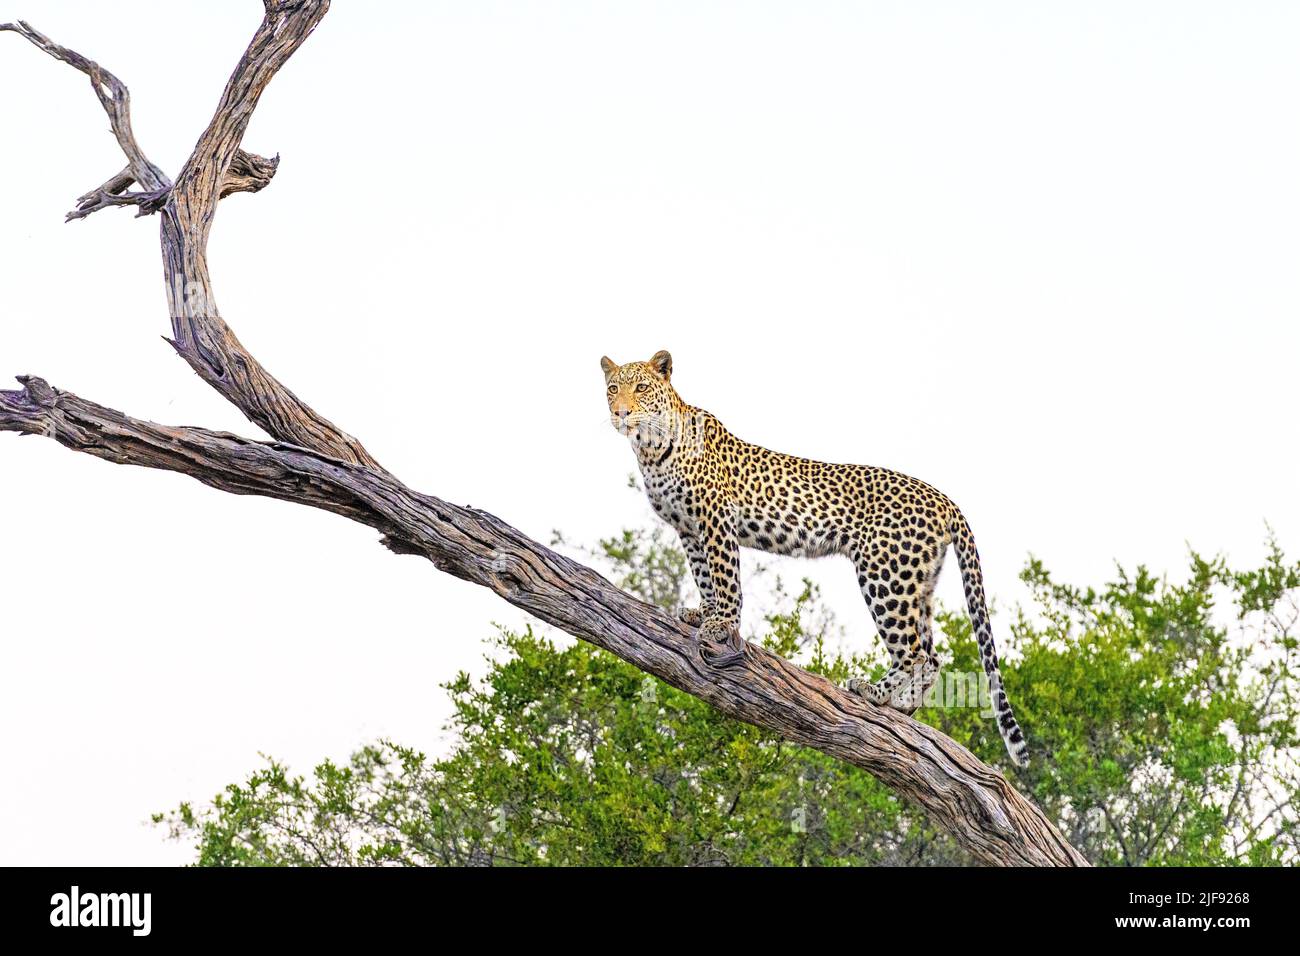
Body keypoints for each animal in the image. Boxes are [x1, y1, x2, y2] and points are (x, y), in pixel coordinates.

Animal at [601, 350, 1029, 767]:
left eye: (641, 388)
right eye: (613, 389)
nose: (621, 413)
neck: (650, 447)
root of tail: (945, 499)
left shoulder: (716, 516)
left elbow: (725, 576)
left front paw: (721, 624)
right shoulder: (689, 529)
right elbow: (704, 575)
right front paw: (702, 613)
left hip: (884, 573)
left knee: (913, 652)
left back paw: (874, 693)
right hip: (915, 581)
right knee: (933, 656)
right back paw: (903, 707)